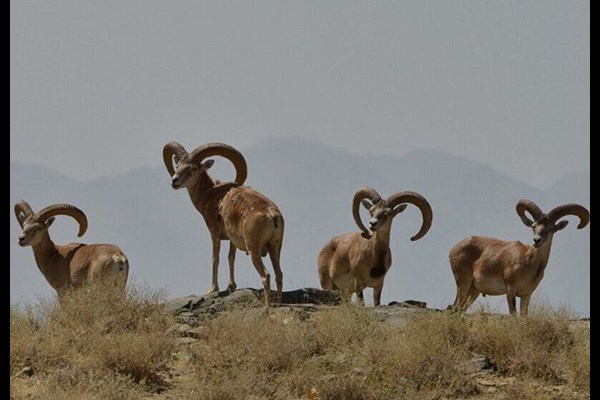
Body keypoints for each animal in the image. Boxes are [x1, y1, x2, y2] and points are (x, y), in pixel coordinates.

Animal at [162, 141, 284, 304]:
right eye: (177, 166)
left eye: (193, 168)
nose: (174, 181)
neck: (210, 194)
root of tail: (272, 215)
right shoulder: (232, 240)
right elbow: (230, 257)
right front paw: (231, 286)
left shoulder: (214, 232)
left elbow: (216, 257)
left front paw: (213, 289)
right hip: (275, 248)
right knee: (279, 275)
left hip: (254, 249)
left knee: (266, 275)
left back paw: (267, 305)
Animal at [450, 198, 592, 314]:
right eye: (533, 226)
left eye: (551, 228)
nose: (536, 240)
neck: (529, 263)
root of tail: (453, 249)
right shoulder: (510, 290)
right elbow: (513, 315)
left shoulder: (527, 294)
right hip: (463, 283)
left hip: (474, 291)